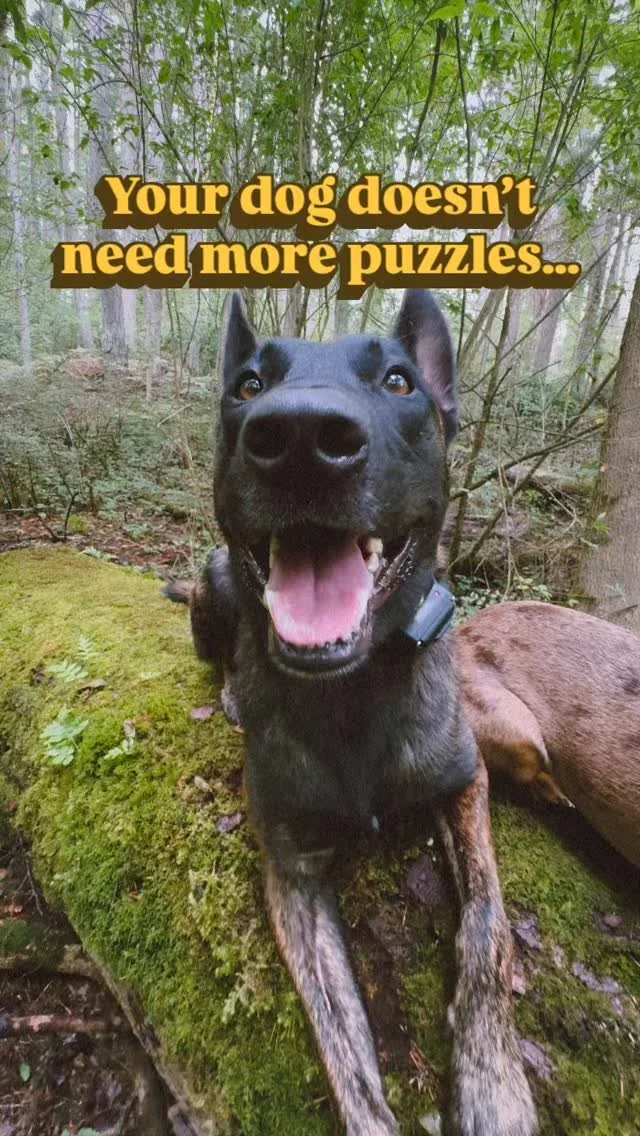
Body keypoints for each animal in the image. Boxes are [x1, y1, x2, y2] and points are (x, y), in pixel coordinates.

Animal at [168, 290, 536, 1135]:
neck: (353, 691)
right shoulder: (294, 872)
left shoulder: (466, 783)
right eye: (247, 384)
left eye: (399, 381)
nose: (300, 437)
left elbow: (488, 929)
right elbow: (342, 1037)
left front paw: (494, 1085)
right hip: (213, 573)